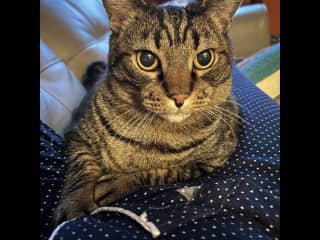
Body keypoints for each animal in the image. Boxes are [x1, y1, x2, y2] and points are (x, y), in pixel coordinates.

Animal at [53, 0, 241, 225]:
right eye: (146, 59)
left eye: (204, 58)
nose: (179, 96)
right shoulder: (76, 136)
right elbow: (80, 169)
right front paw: (75, 205)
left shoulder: (209, 163)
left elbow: (161, 172)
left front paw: (116, 184)